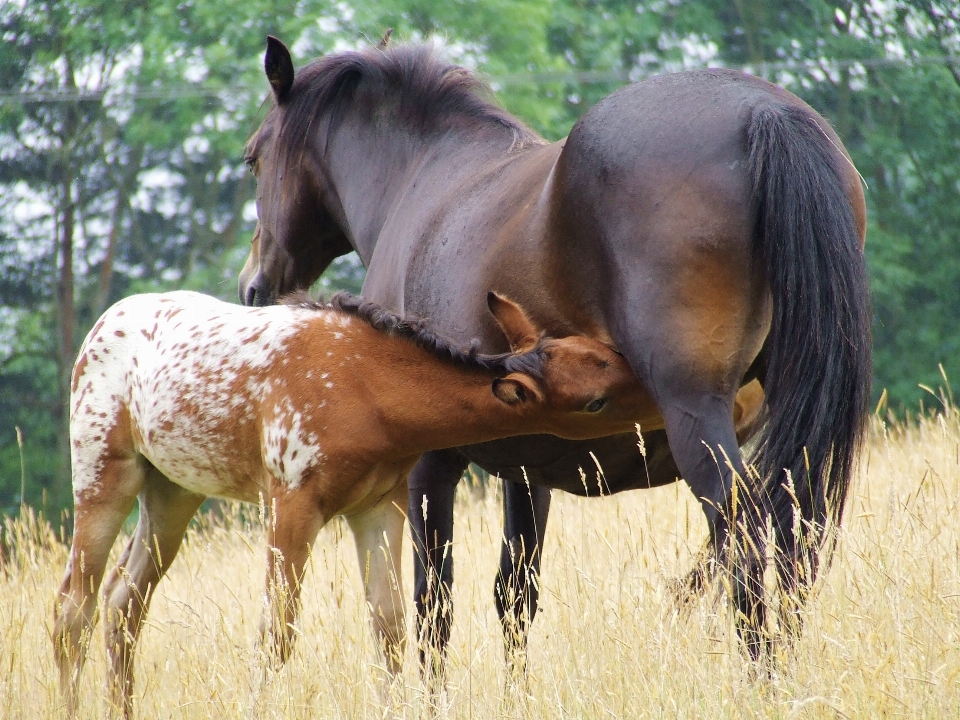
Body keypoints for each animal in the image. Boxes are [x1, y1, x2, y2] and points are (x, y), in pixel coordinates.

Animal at [56, 290, 648, 716]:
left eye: (599, 348)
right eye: (595, 403)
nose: (649, 383)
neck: (366, 390)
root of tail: (97, 329)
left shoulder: (379, 505)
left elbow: (388, 627)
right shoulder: (292, 501)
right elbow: (278, 631)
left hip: (173, 490)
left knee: (122, 603)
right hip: (103, 473)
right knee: (74, 607)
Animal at [238, 38, 872, 668]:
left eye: (253, 158)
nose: (252, 287)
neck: (420, 181)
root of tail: (762, 112)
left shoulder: (429, 465)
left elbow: (432, 603)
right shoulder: (526, 464)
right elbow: (514, 595)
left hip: (698, 419)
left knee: (743, 541)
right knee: (792, 541)